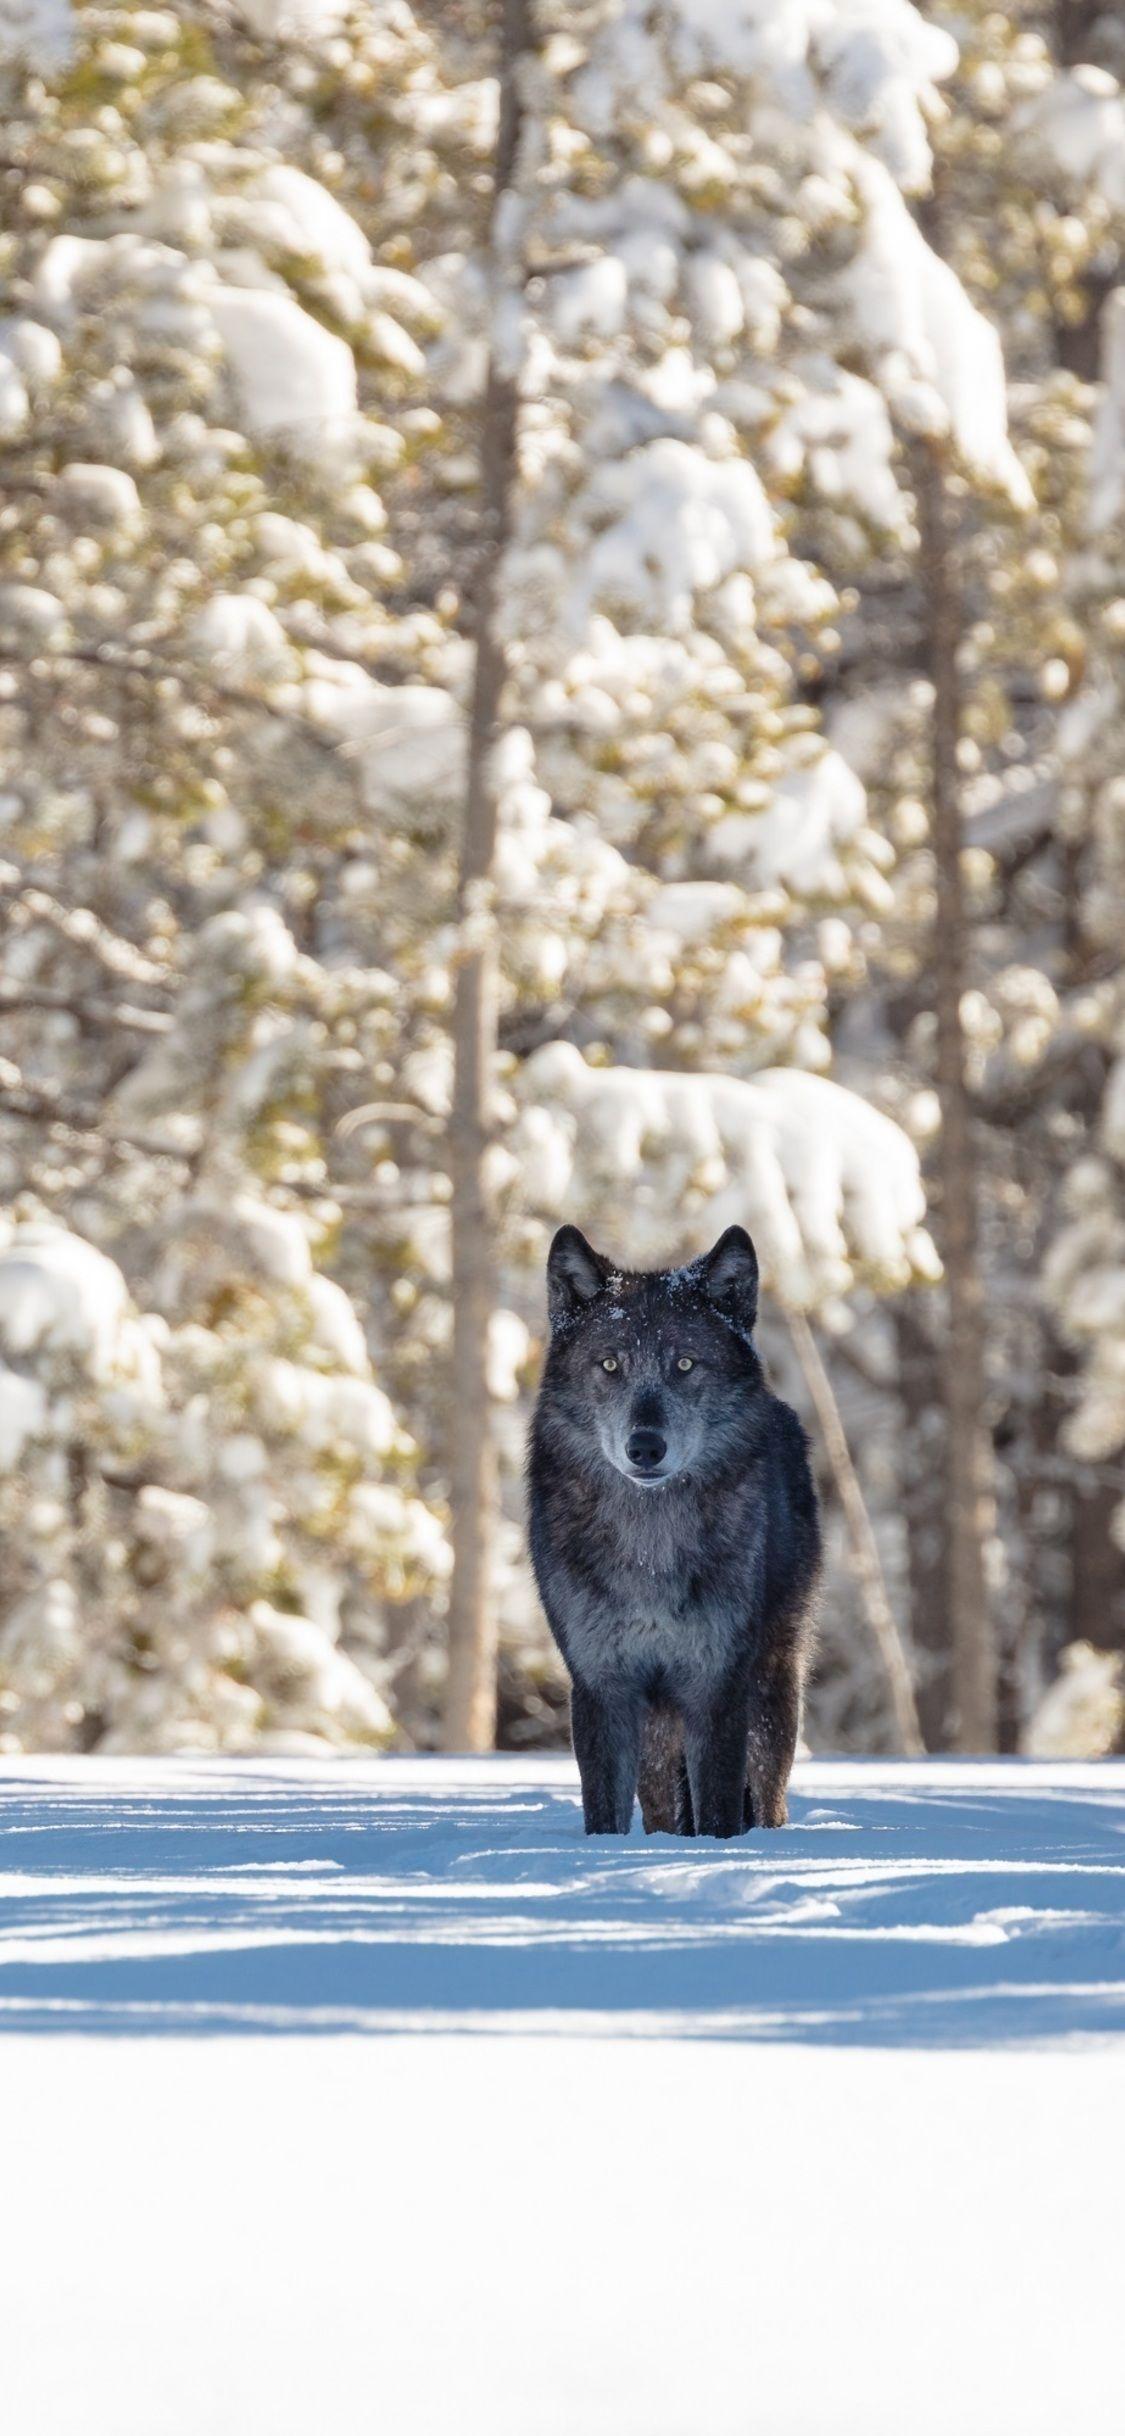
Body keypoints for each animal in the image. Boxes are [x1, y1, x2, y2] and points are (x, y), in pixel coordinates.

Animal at [527, 1224, 821, 1837]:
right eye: (610, 1365)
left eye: (685, 1364)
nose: (645, 1446)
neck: (651, 1548)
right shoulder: (603, 1684)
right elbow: (604, 1812)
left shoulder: (717, 1683)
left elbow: (718, 1809)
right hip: (660, 1732)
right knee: (663, 1805)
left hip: (771, 1691)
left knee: (768, 1796)